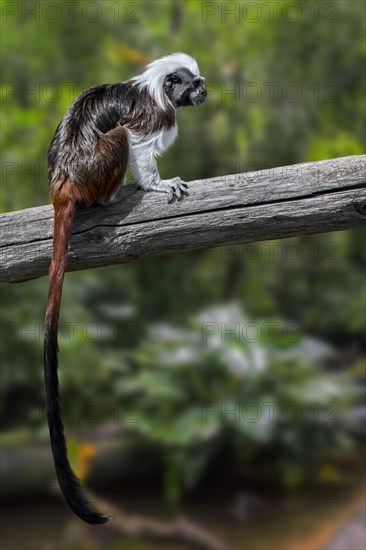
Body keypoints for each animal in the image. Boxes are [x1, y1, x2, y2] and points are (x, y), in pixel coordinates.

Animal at [43, 54, 206, 528]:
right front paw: (156, 184)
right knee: (115, 137)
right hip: (96, 170)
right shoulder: (153, 116)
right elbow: (134, 138)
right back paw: (110, 198)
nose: (204, 93)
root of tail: (64, 181)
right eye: (191, 85)